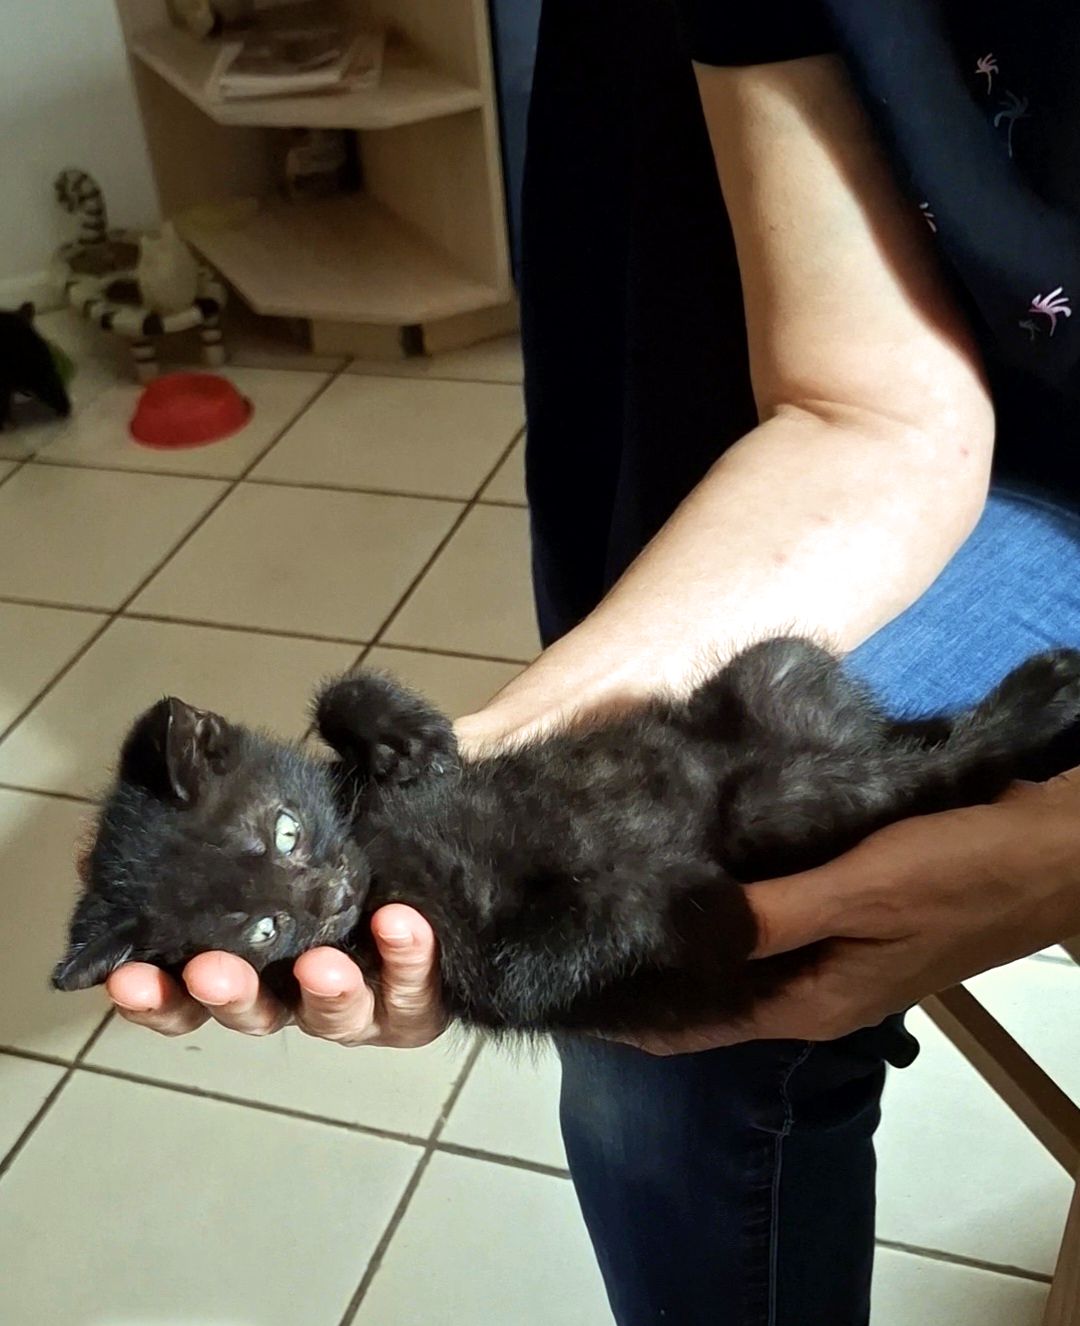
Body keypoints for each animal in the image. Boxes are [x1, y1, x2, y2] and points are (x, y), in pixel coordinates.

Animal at [53, 637, 1080, 1037]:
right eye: (261, 932)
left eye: (286, 830)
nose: (331, 896)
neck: (382, 850)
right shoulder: (479, 966)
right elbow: (567, 941)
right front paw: (682, 906)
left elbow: (343, 693)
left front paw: (408, 733)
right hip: (787, 800)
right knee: (930, 774)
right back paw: (1041, 706)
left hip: (776, 667)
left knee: (899, 741)